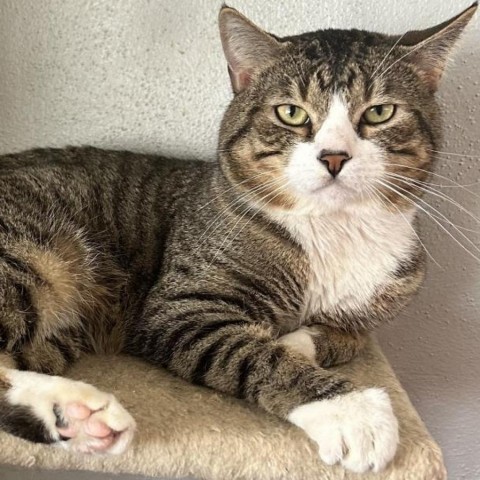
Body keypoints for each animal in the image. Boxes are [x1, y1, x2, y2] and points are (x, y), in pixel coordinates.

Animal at [0, 1, 476, 474]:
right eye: (291, 113)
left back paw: (76, 418)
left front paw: (292, 341)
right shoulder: (182, 307)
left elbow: (331, 338)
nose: (335, 156)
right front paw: (350, 410)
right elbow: (257, 354)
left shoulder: (368, 314)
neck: (333, 227)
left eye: (379, 112)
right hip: (36, 252)